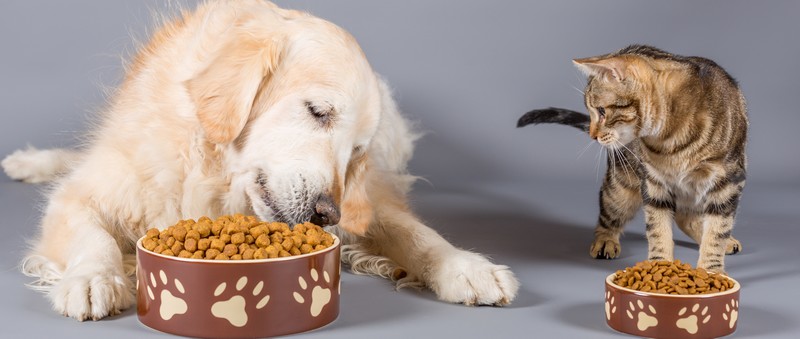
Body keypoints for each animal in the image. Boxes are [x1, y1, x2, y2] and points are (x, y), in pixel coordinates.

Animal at [1, 0, 520, 322]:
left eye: (356, 152)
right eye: (318, 111)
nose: (327, 213)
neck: (215, 176)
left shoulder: (367, 200)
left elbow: (416, 234)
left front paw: (467, 267)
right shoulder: (83, 195)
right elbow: (94, 236)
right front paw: (93, 278)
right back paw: (29, 162)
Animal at [520, 45, 748, 274]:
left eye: (601, 111)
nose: (593, 135)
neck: (670, 139)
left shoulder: (727, 182)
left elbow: (717, 231)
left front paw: (711, 271)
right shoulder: (654, 183)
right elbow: (658, 231)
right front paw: (659, 266)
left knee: (689, 218)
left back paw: (725, 242)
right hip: (620, 187)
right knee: (610, 213)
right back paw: (605, 240)